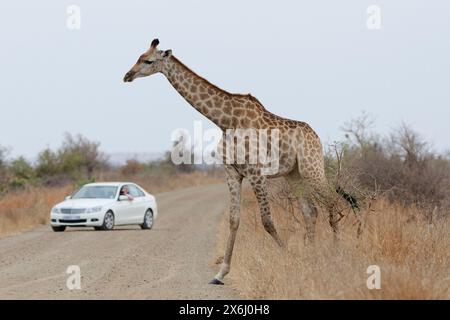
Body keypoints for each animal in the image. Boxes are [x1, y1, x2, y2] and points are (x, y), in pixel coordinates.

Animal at [124, 39, 358, 284]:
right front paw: (220, 273)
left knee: (332, 202)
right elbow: (234, 219)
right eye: (138, 56)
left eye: (148, 61)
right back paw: (311, 253)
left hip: (312, 167)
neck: (225, 121)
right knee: (310, 211)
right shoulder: (232, 172)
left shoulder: (256, 173)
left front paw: (287, 255)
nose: (127, 75)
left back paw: (336, 252)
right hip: (293, 174)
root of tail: (316, 136)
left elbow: (267, 220)